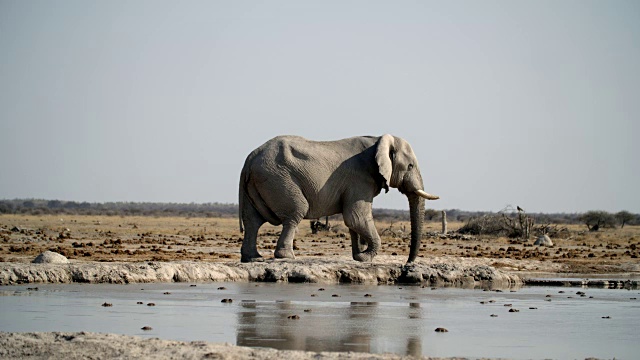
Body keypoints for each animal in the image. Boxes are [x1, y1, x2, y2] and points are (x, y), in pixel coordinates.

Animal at [238, 134, 438, 262]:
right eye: (410, 166)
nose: (408, 264)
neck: (377, 140)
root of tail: (249, 159)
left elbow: (353, 222)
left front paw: (358, 256)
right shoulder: (360, 180)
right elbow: (356, 217)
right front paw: (365, 257)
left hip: (259, 182)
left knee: (252, 220)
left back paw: (253, 258)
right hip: (277, 178)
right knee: (295, 213)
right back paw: (286, 257)